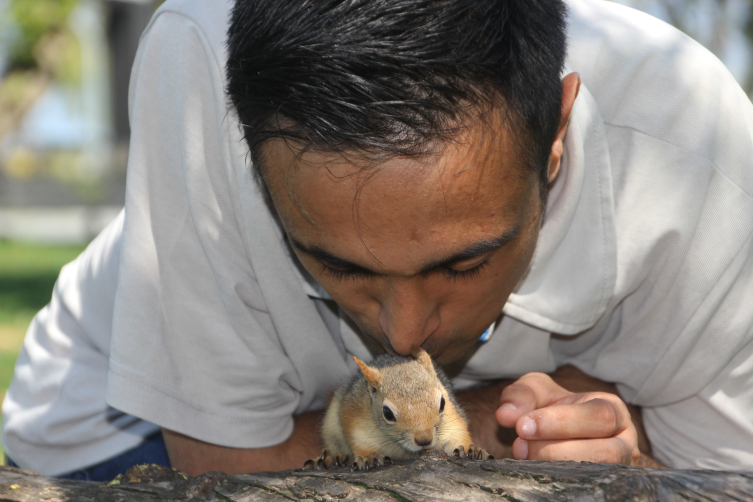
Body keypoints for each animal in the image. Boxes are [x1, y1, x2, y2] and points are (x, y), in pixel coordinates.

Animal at [302, 346, 490, 470]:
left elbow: (457, 435)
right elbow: (360, 441)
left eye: (442, 402)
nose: (424, 440)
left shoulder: (452, 418)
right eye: (387, 413)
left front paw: (470, 448)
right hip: (330, 427)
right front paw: (369, 456)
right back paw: (332, 457)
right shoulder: (357, 420)